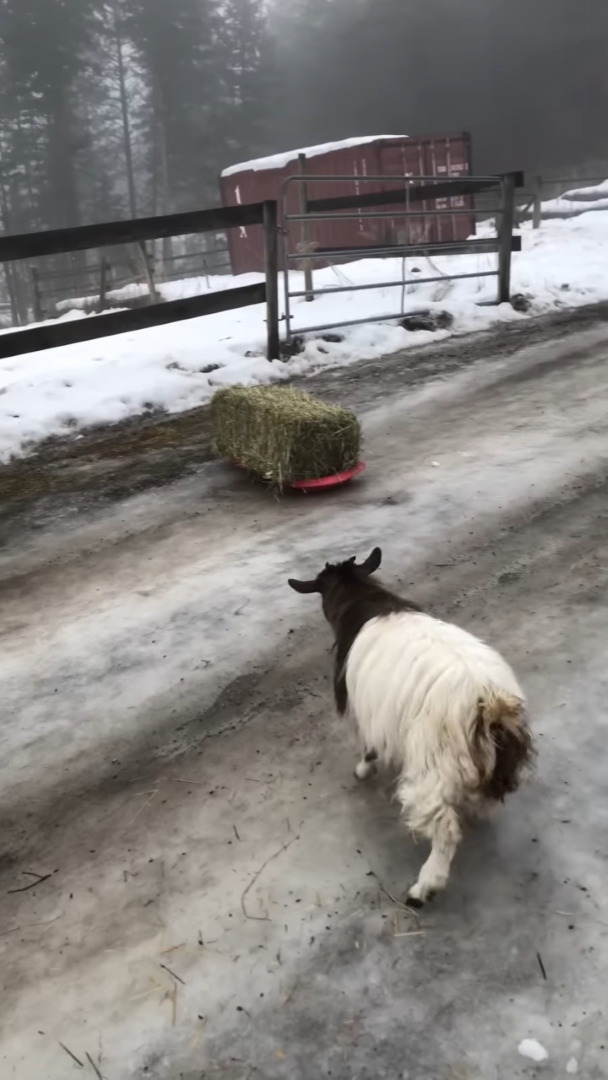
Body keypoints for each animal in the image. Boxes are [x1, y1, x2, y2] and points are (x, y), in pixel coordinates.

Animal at [289, 548, 533, 902]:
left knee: (445, 830)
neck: (367, 602)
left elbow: (367, 746)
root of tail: (491, 706)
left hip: (433, 768)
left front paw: (362, 770)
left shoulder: (365, 708)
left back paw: (424, 889)